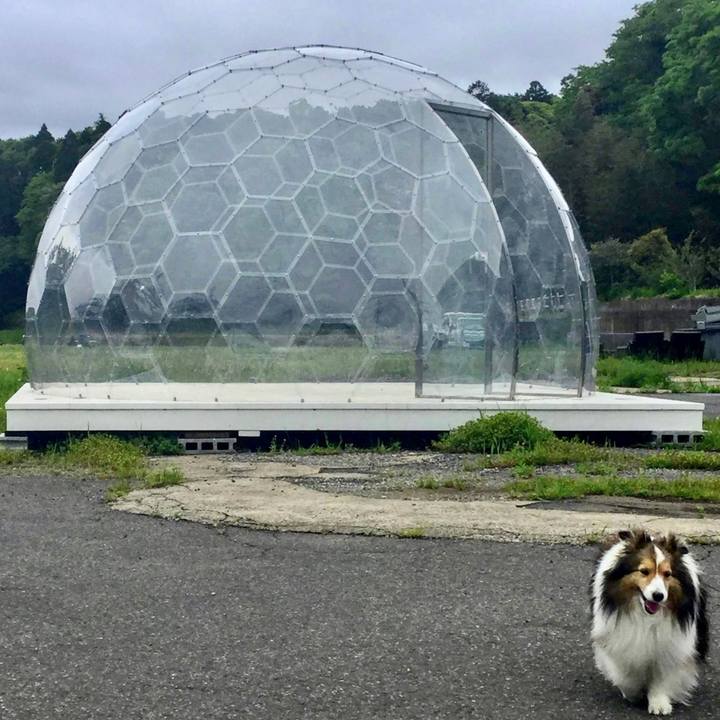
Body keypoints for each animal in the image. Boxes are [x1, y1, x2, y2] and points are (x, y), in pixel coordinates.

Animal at [590, 529, 708, 715]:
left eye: (668, 574)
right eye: (644, 571)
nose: (658, 596)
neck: (646, 617)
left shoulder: (672, 646)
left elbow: (662, 676)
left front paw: (659, 703)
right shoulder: (619, 641)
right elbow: (626, 676)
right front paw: (633, 693)